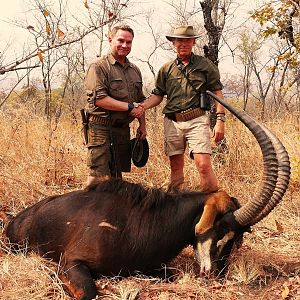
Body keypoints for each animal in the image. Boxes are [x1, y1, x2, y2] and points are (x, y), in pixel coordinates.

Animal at [1, 93, 290, 300]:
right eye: (220, 231)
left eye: (237, 239)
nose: (216, 275)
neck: (147, 221)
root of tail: (16, 218)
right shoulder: (72, 261)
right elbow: (89, 292)